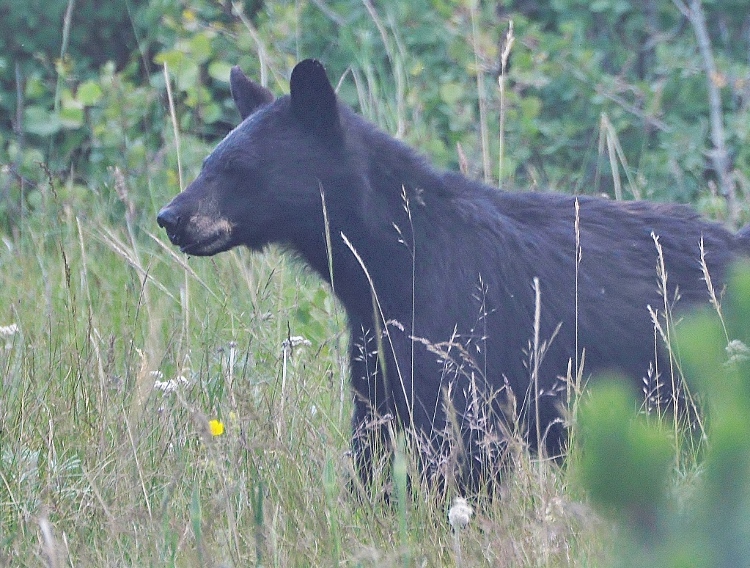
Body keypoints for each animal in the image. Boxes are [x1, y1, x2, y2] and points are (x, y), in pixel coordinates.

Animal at [159, 57, 750, 490]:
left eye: (238, 168)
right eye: (208, 162)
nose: (170, 217)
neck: (387, 264)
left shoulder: (462, 343)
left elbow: (463, 454)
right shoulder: (377, 354)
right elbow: (371, 448)